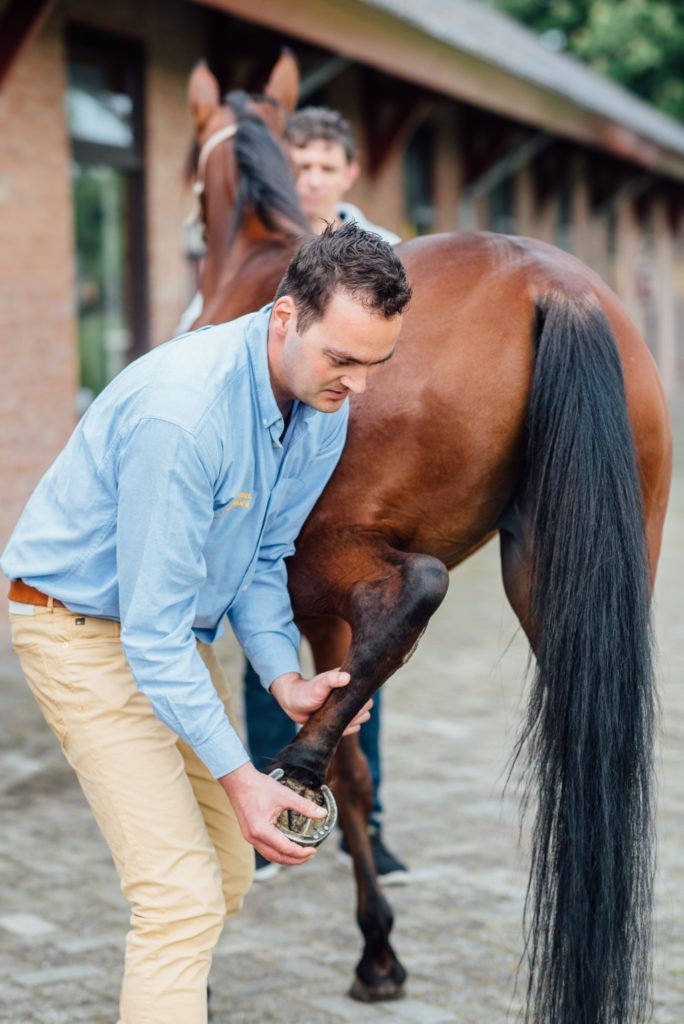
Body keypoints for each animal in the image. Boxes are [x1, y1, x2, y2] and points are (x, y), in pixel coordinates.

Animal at [186, 52, 672, 1024]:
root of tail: (552, 282)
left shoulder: (290, 598)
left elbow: (350, 764)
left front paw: (376, 943)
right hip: (576, 584)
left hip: (325, 561)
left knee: (410, 595)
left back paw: (295, 770)